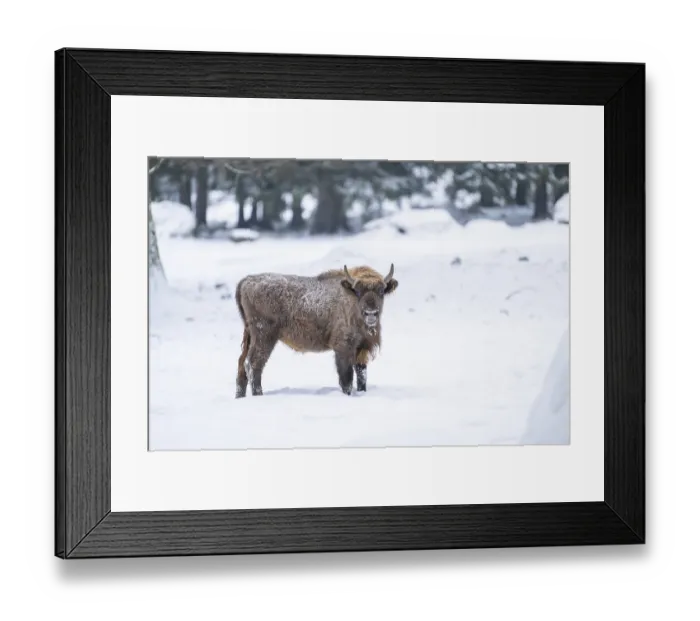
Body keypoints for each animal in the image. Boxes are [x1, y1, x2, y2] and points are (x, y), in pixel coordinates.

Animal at [234, 263, 399, 397]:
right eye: (357, 291)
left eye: (381, 291)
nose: (371, 313)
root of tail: (246, 281)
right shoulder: (343, 348)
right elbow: (346, 378)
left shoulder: (362, 348)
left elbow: (361, 376)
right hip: (265, 337)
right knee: (253, 364)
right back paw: (259, 395)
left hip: (250, 336)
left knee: (242, 365)